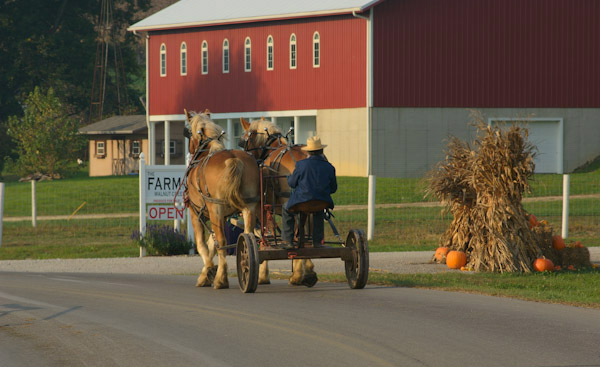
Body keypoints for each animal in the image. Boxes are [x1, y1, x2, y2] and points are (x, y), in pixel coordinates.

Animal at [183, 112, 258, 290]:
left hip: (215, 209)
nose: (191, 149)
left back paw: (221, 279)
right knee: (247, 236)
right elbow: (212, 244)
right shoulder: (223, 216)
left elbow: (202, 245)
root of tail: (234, 159)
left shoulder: (196, 212)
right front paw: (206, 273)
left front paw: (209, 271)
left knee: (223, 243)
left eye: (189, 134)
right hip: (249, 206)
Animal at [239, 118, 318, 288]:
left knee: (298, 234)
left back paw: (298, 274)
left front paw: (262, 275)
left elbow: (264, 236)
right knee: (305, 235)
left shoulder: (262, 210)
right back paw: (306, 272)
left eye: (245, 141)